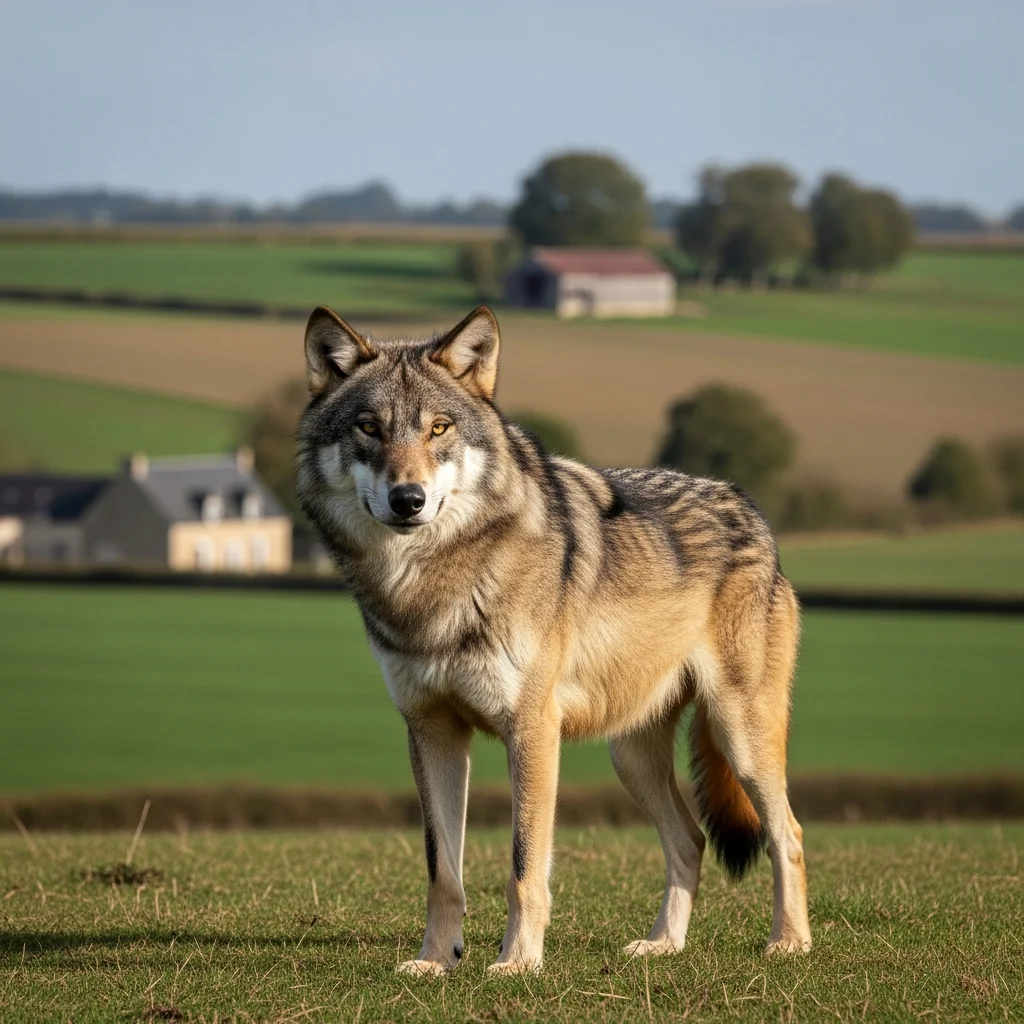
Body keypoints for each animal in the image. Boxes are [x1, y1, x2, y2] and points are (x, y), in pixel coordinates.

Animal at [296, 304, 811, 975]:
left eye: (438, 428)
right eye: (368, 428)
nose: (408, 500)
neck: (429, 585)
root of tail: (747, 506)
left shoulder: (532, 731)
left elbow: (523, 867)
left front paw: (518, 962)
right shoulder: (432, 732)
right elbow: (443, 871)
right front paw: (435, 962)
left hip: (739, 737)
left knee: (787, 834)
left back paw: (790, 941)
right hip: (632, 757)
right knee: (691, 839)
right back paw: (662, 945)